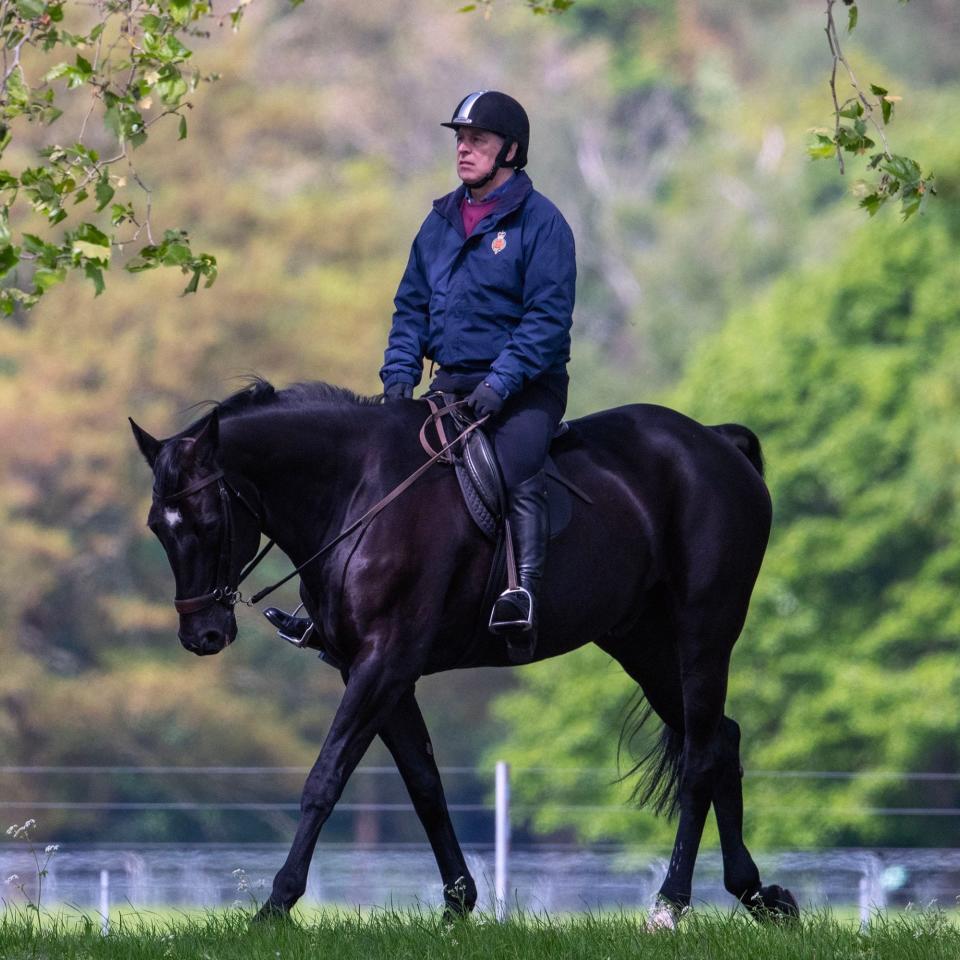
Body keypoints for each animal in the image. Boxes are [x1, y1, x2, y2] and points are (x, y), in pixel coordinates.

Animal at [131, 378, 800, 928]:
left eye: (207, 522)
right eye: (158, 528)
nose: (202, 636)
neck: (359, 492)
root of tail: (715, 444)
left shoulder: (385, 661)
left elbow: (326, 778)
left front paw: (275, 906)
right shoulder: (376, 671)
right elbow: (424, 783)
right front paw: (458, 904)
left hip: (704, 633)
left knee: (700, 759)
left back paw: (671, 903)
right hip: (643, 644)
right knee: (720, 741)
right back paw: (760, 896)